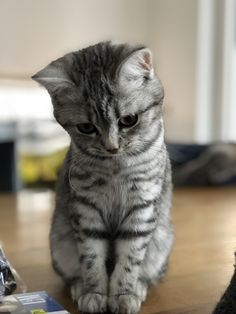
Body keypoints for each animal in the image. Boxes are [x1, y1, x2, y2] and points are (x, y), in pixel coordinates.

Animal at [32, 42, 173, 314]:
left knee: (149, 274)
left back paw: (139, 287)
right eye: (86, 127)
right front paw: (94, 294)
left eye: (128, 120)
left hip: (161, 244)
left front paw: (123, 295)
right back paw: (79, 287)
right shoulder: (86, 209)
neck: (115, 167)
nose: (111, 147)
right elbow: (91, 258)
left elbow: (129, 259)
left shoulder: (142, 207)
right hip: (60, 244)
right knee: (71, 275)